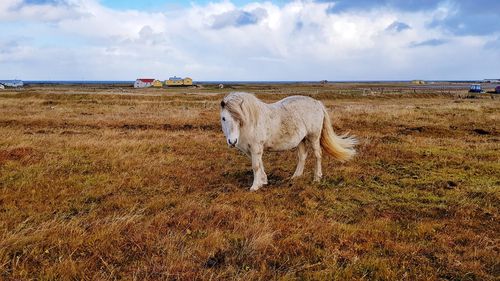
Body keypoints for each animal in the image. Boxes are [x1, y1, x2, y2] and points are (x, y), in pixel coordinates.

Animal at [221, 92, 358, 190]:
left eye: (240, 118)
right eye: (223, 118)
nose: (232, 141)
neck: (251, 122)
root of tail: (317, 103)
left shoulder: (256, 148)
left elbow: (255, 166)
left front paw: (255, 187)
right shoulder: (251, 150)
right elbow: (260, 164)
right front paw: (263, 181)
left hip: (313, 137)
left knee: (318, 155)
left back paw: (316, 178)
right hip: (301, 140)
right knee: (302, 156)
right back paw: (295, 177)